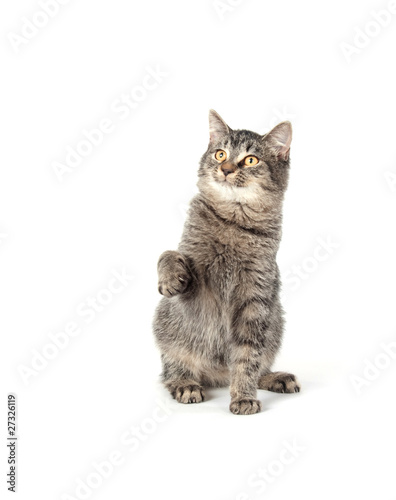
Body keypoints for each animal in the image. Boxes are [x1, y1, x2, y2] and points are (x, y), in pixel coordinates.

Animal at [152, 111, 300, 416]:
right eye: (220, 154)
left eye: (251, 159)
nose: (226, 169)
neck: (233, 218)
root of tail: (217, 375)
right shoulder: (196, 280)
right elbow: (168, 253)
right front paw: (170, 278)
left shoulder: (255, 300)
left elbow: (247, 357)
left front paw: (243, 396)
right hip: (166, 325)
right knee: (172, 369)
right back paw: (185, 383)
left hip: (275, 319)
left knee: (258, 366)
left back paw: (274, 377)